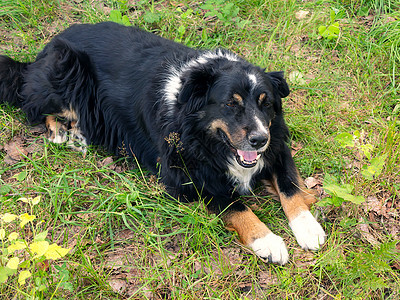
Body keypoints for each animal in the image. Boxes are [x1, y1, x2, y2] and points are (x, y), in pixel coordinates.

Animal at [0, 22, 324, 264]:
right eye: (231, 104)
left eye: (266, 103)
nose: (258, 140)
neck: (201, 134)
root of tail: (41, 53)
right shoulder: (186, 176)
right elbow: (236, 206)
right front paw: (268, 241)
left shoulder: (276, 144)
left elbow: (290, 186)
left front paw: (308, 227)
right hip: (67, 70)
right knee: (37, 108)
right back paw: (67, 135)